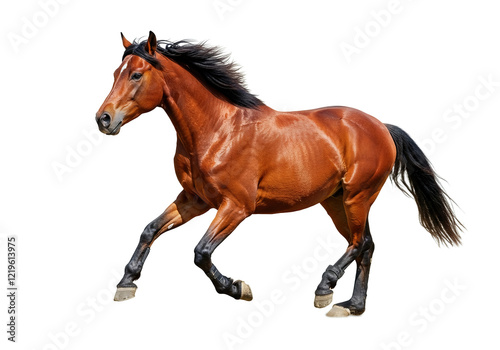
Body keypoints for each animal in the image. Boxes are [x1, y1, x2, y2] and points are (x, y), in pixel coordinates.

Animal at [95, 31, 462, 318]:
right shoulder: (195, 200)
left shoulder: (237, 206)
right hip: (336, 201)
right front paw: (126, 283)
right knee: (367, 246)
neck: (216, 131)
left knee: (359, 244)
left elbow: (201, 252)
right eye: (115, 73)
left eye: (136, 75)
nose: (103, 119)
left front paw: (238, 288)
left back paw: (325, 287)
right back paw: (352, 306)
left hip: (358, 196)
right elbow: (150, 229)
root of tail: (381, 126)